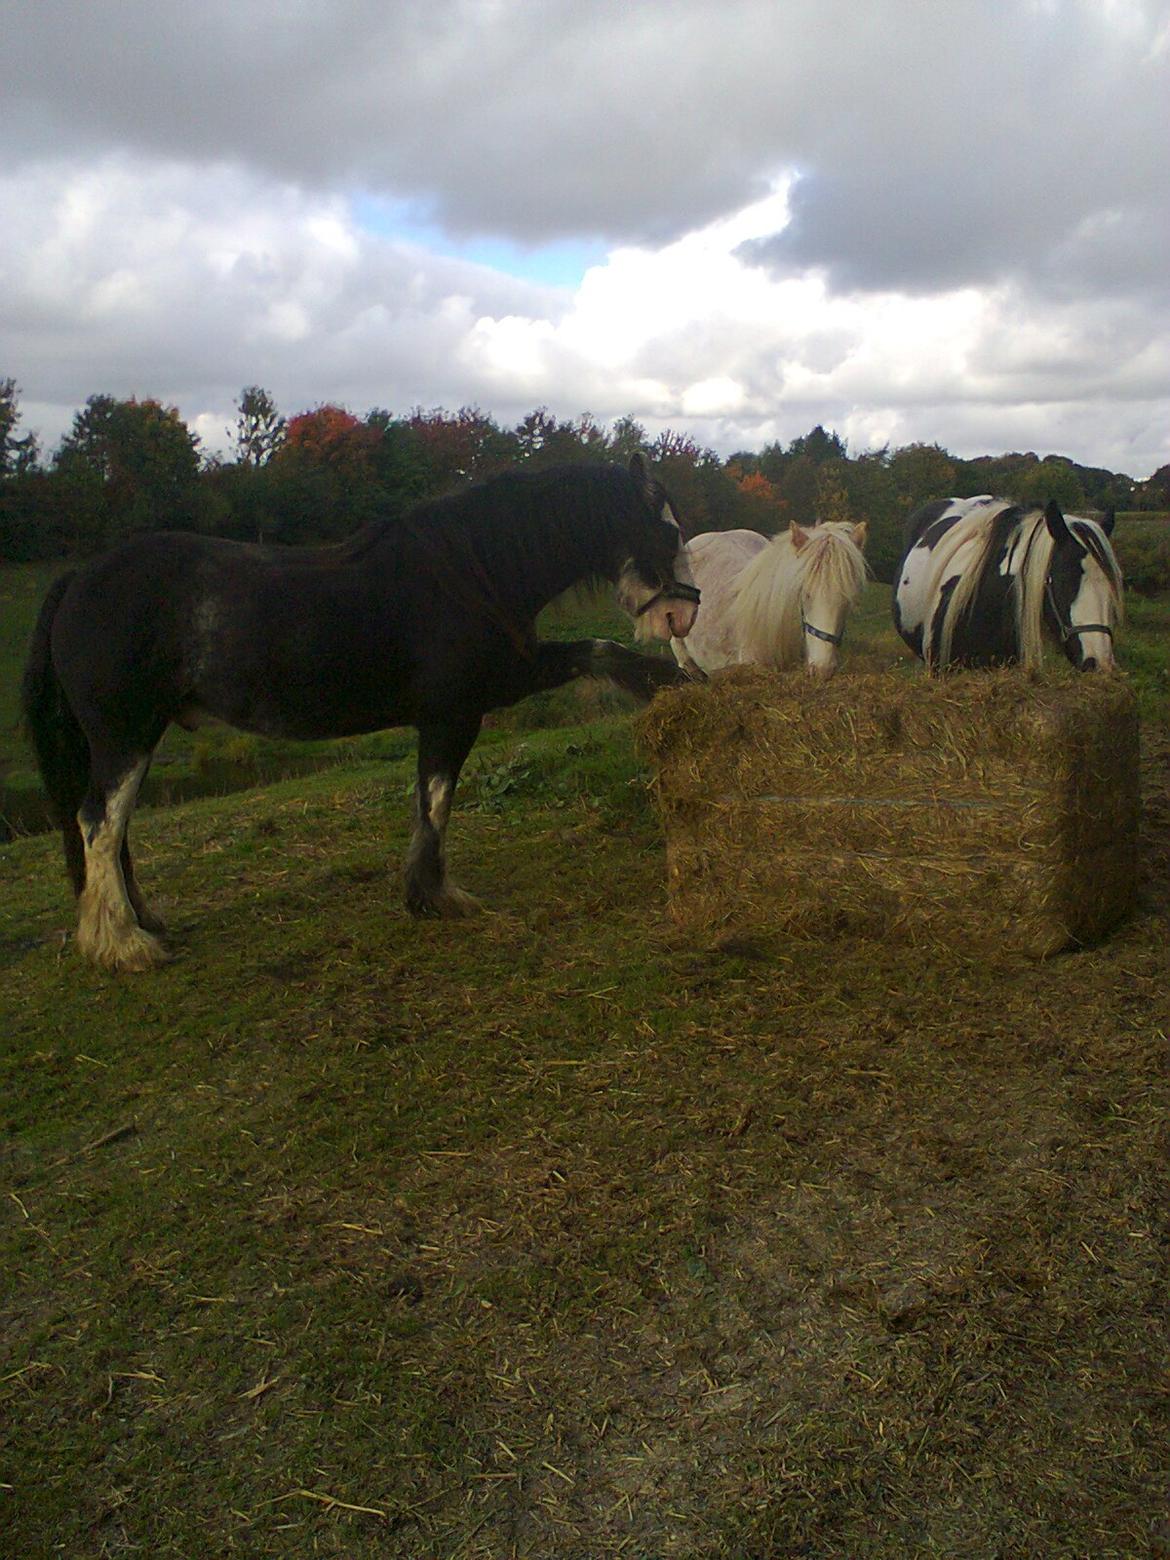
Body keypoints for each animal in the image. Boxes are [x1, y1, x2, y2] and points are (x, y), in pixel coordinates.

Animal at [22, 452, 702, 967]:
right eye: (667, 531)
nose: (685, 613)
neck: (466, 570)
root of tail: (80, 577)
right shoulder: (456, 712)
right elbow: (436, 799)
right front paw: (435, 895)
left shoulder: (503, 679)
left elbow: (596, 651)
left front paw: (662, 680)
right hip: (125, 736)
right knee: (98, 824)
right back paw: (123, 944)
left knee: (114, 831)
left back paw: (141, 922)